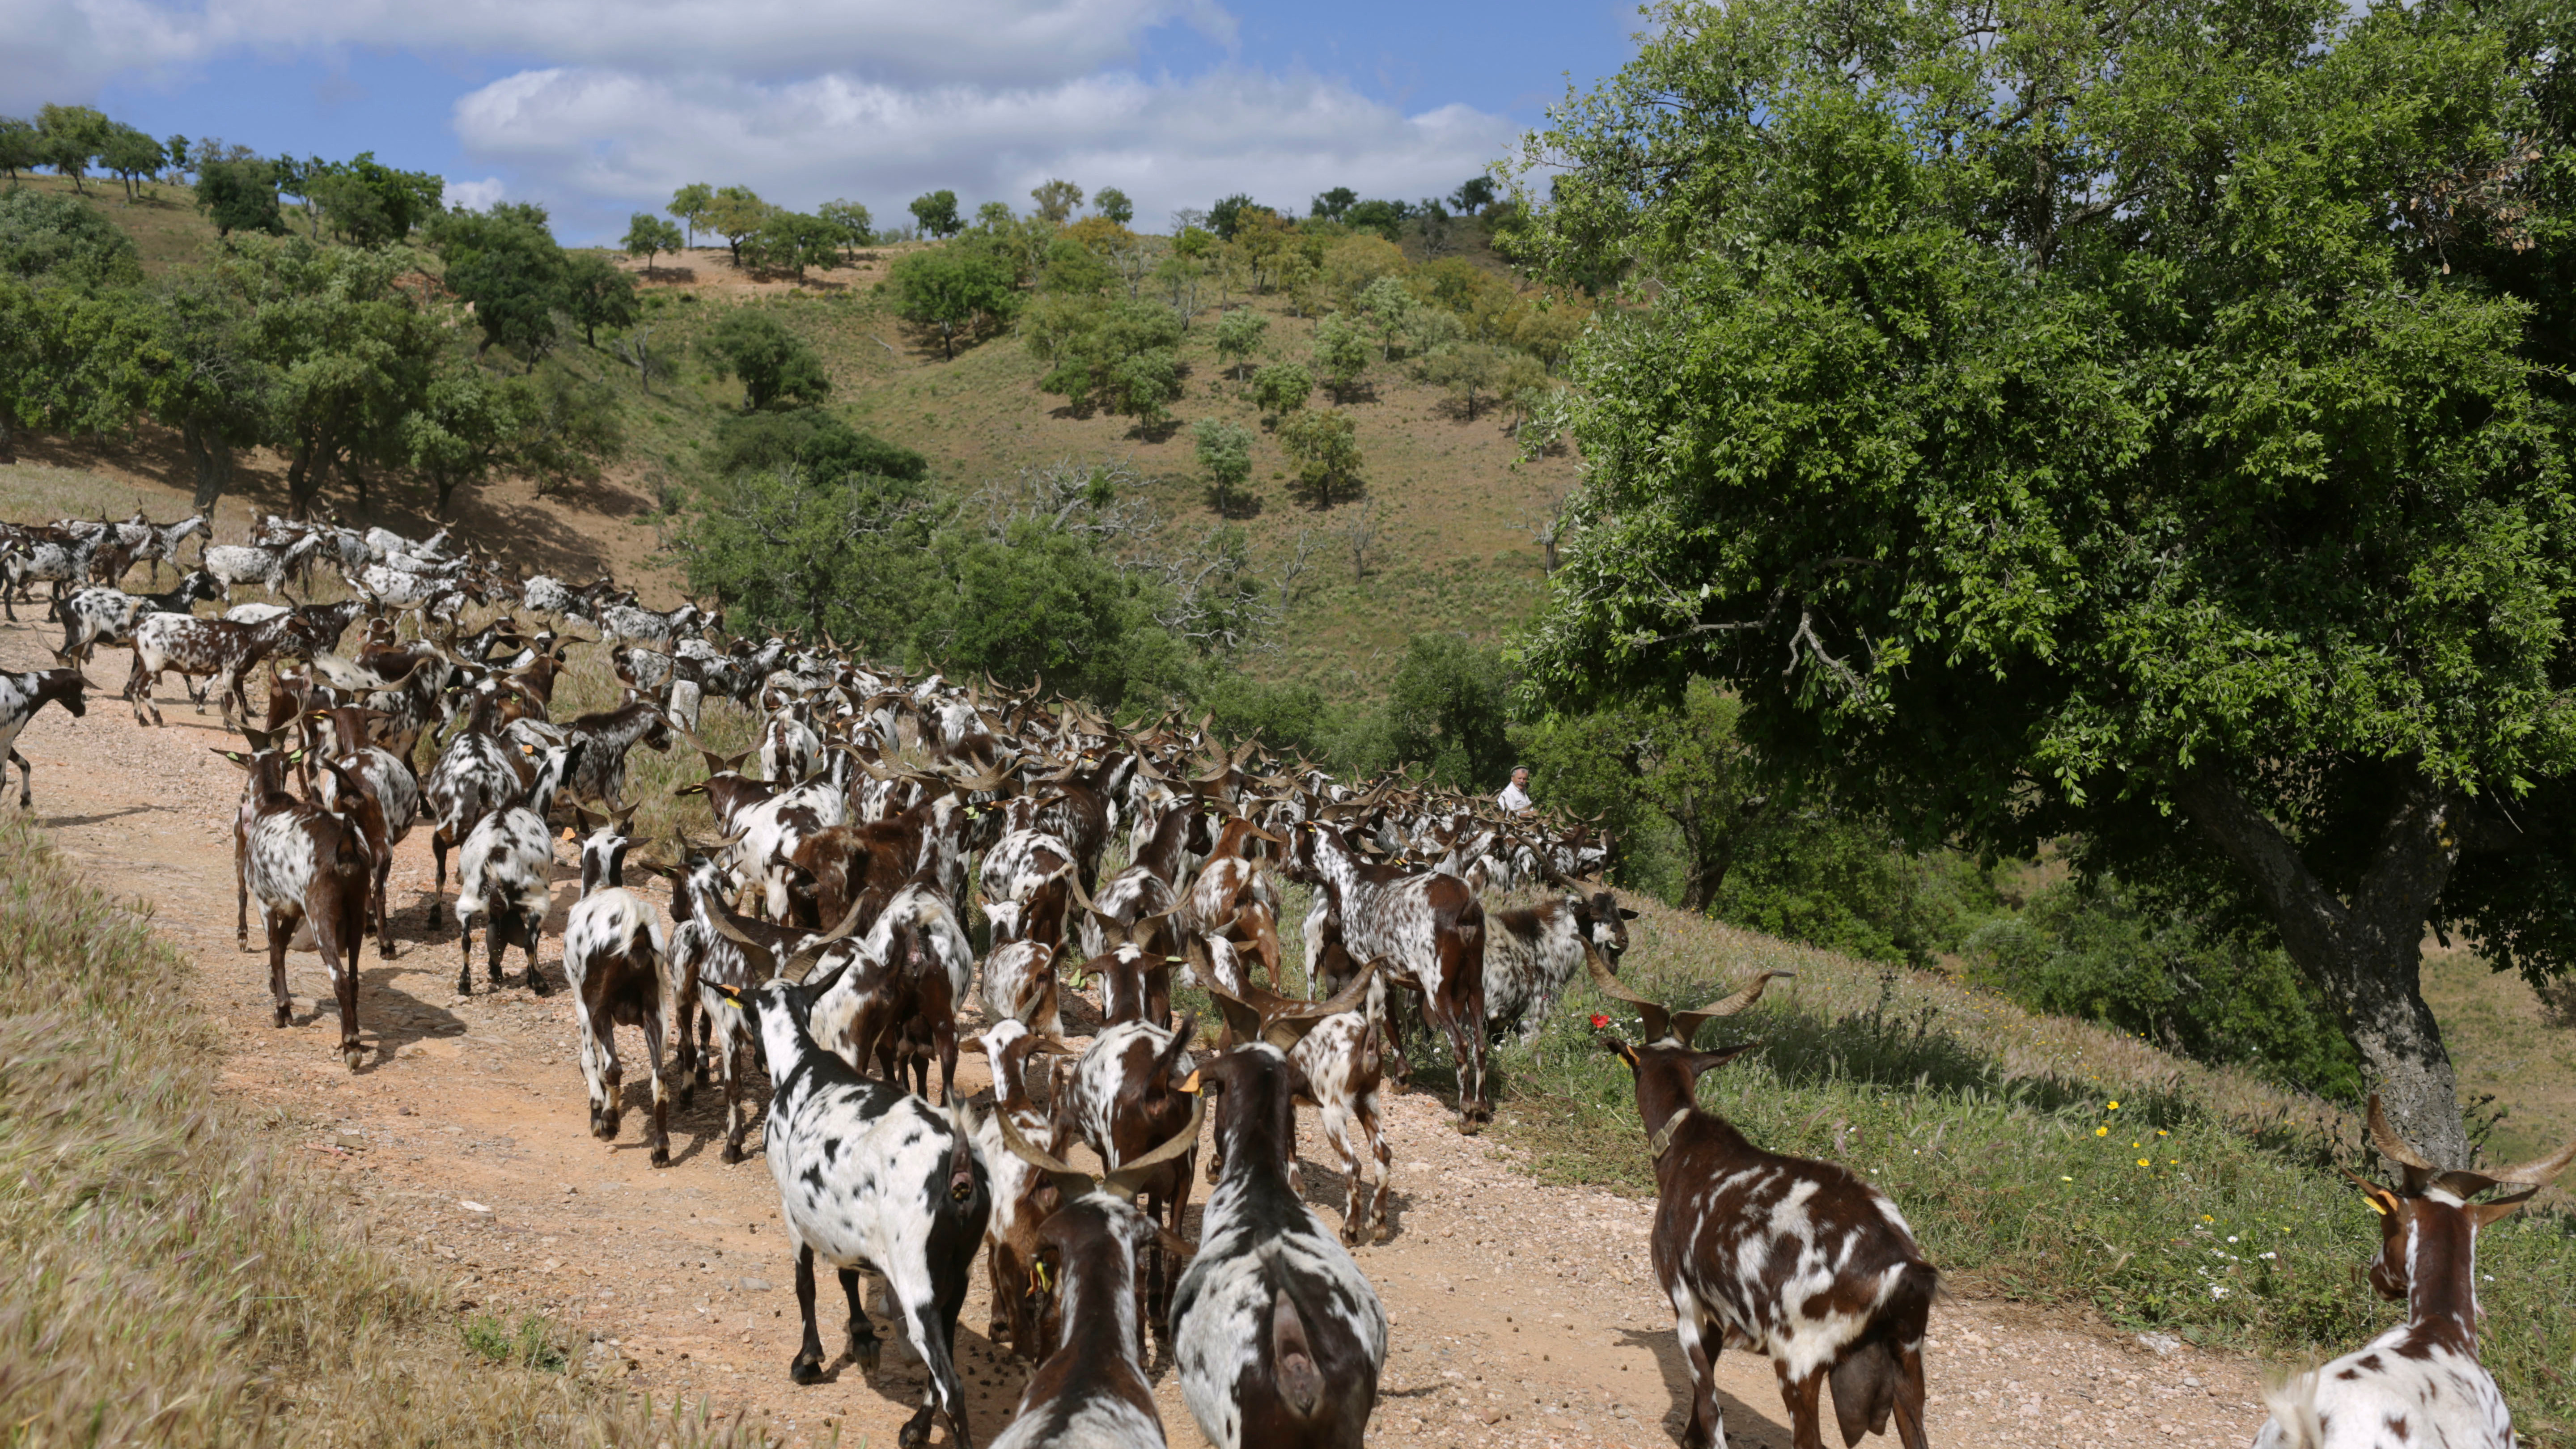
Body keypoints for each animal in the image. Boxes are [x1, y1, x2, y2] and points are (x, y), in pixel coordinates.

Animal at [1587, 949, 1937, 1444]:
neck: (1687, 1145)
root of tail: (1904, 1270)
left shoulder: (1684, 1300)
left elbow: (1710, 1402)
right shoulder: (1717, 1313)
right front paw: (1689, 1438)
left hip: (1798, 1361)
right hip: (1908, 1363)